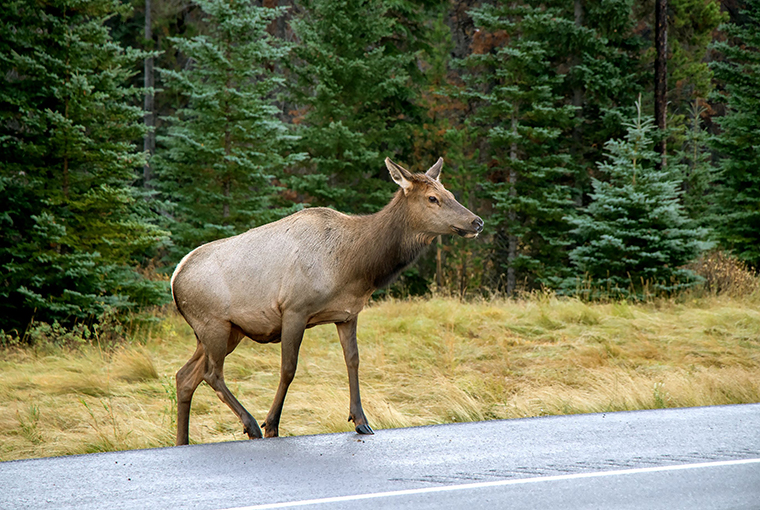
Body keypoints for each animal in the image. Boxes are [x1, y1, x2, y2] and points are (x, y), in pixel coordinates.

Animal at [171, 157, 480, 444]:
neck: (354, 267)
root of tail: (175, 278)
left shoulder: (348, 314)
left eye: (450, 193)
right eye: (432, 198)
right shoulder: (294, 309)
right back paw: (251, 425)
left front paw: (361, 420)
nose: (477, 221)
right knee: (212, 373)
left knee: (186, 376)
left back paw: (182, 440)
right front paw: (272, 425)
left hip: (228, 331)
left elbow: (353, 360)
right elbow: (288, 369)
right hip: (214, 323)